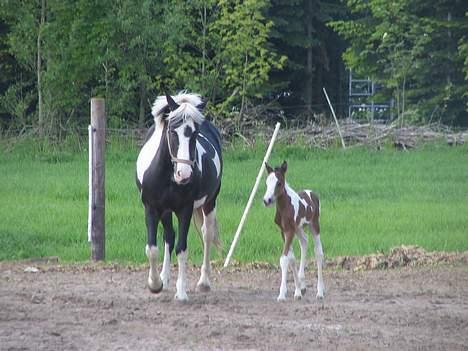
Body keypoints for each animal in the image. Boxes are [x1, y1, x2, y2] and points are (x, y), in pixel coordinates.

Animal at [135, 92, 223, 302]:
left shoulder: (186, 209)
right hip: (166, 211)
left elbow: (182, 248)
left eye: (195, 134)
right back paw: (164, 278)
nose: (184, 174)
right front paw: (155, 284)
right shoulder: (151, 208)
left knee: (207, 234)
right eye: (172, 131)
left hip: (210, 203)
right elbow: (152, 248)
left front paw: (181, 292)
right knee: (169, 235)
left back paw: (203, 282)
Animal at [264, 162, 326, 302]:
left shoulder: (289, 231)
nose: (267, 200)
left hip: (314, 225)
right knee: (304, 242)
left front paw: (282, 294)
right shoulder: (284, 231)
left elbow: (284, 258)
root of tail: (312, 193)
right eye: (266, 182)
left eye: (279, 183)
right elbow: (291, 258)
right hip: (299, 229)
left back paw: (320, 292)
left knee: (318, 252)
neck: (285, 207)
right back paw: (302, 284)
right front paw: (298, 291)